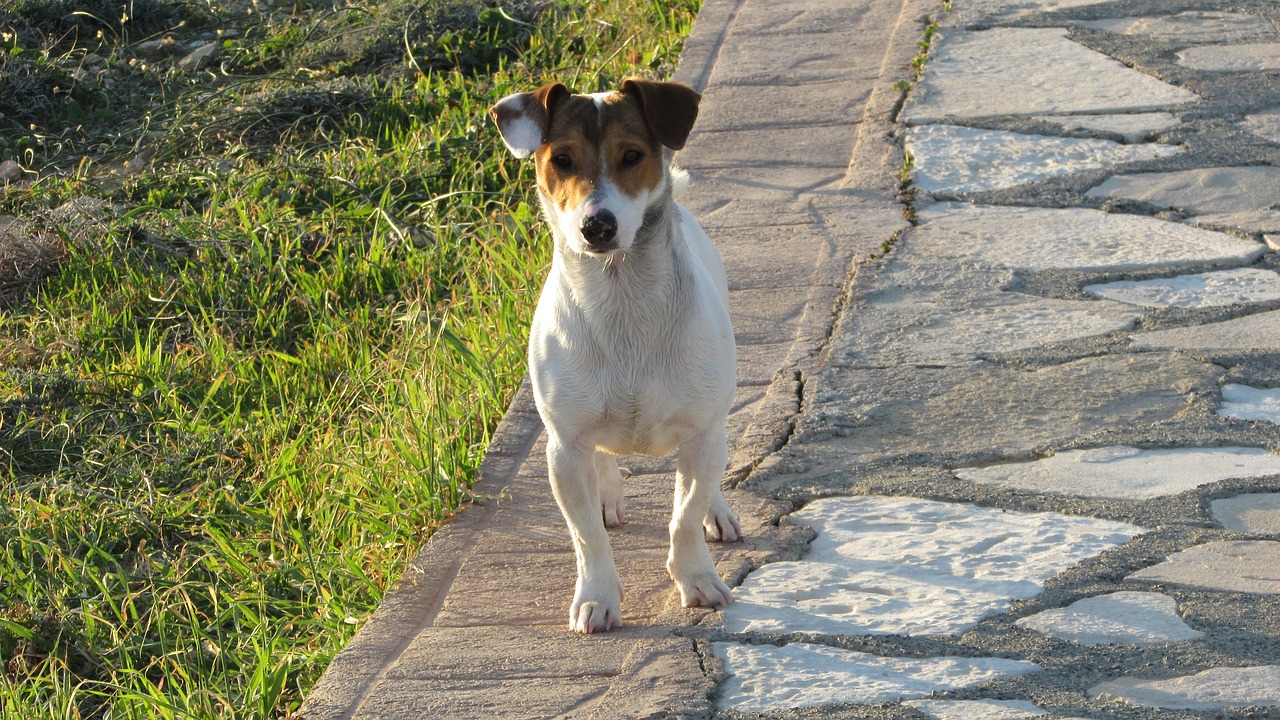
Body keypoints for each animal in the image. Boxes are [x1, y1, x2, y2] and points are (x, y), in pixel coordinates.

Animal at [491, 75, 747, 630]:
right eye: (561, 160)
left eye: (632, 155)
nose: (597, 226)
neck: (622, 301)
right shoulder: (563, 448)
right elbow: (586, 535)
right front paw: (597, 597)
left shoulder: (701, 433)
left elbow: (684, 516)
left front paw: (697, 578)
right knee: (600, 466)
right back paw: (607, 491)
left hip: (711, 421)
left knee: (707, 473)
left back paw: (717, 511)